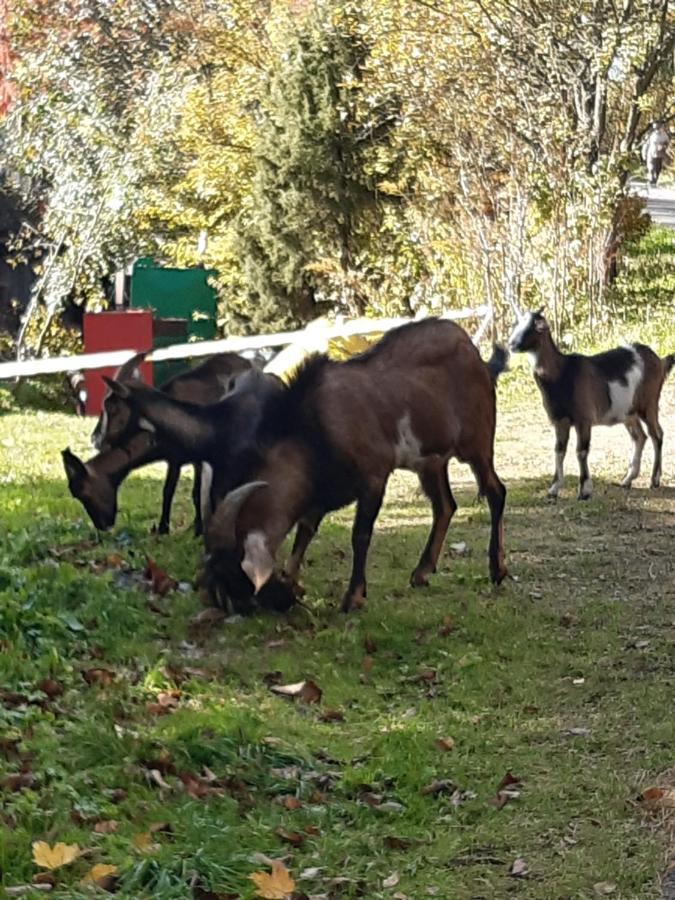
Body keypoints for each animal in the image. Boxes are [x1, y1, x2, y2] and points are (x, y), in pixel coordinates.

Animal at [190, 320, 508, 616]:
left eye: (239, 580)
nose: (283, 603)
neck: (316, 430)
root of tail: (476, 357)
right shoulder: (319, 491)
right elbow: (304, 532)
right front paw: (292, 579)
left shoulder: (373, 478)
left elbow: (360, 535)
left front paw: (352, 597)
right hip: (430, 462)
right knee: (444, 506)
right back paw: (421, 573)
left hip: (476, 443)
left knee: (495, 491)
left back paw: (497, 569)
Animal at [510, 310, 672, 500]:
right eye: (515, 324)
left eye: (533, 327)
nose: (511, 344)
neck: (563, 373)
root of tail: (659, 360)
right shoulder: (559, 420)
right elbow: (559, 451)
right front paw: (553, 490)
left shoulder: (583, 418)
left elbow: (581, 451)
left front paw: (584, 491)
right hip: (628, 412)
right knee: (639, 437)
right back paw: (627, 480)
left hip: (649, 403)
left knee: (656, 434)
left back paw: (654, 480)